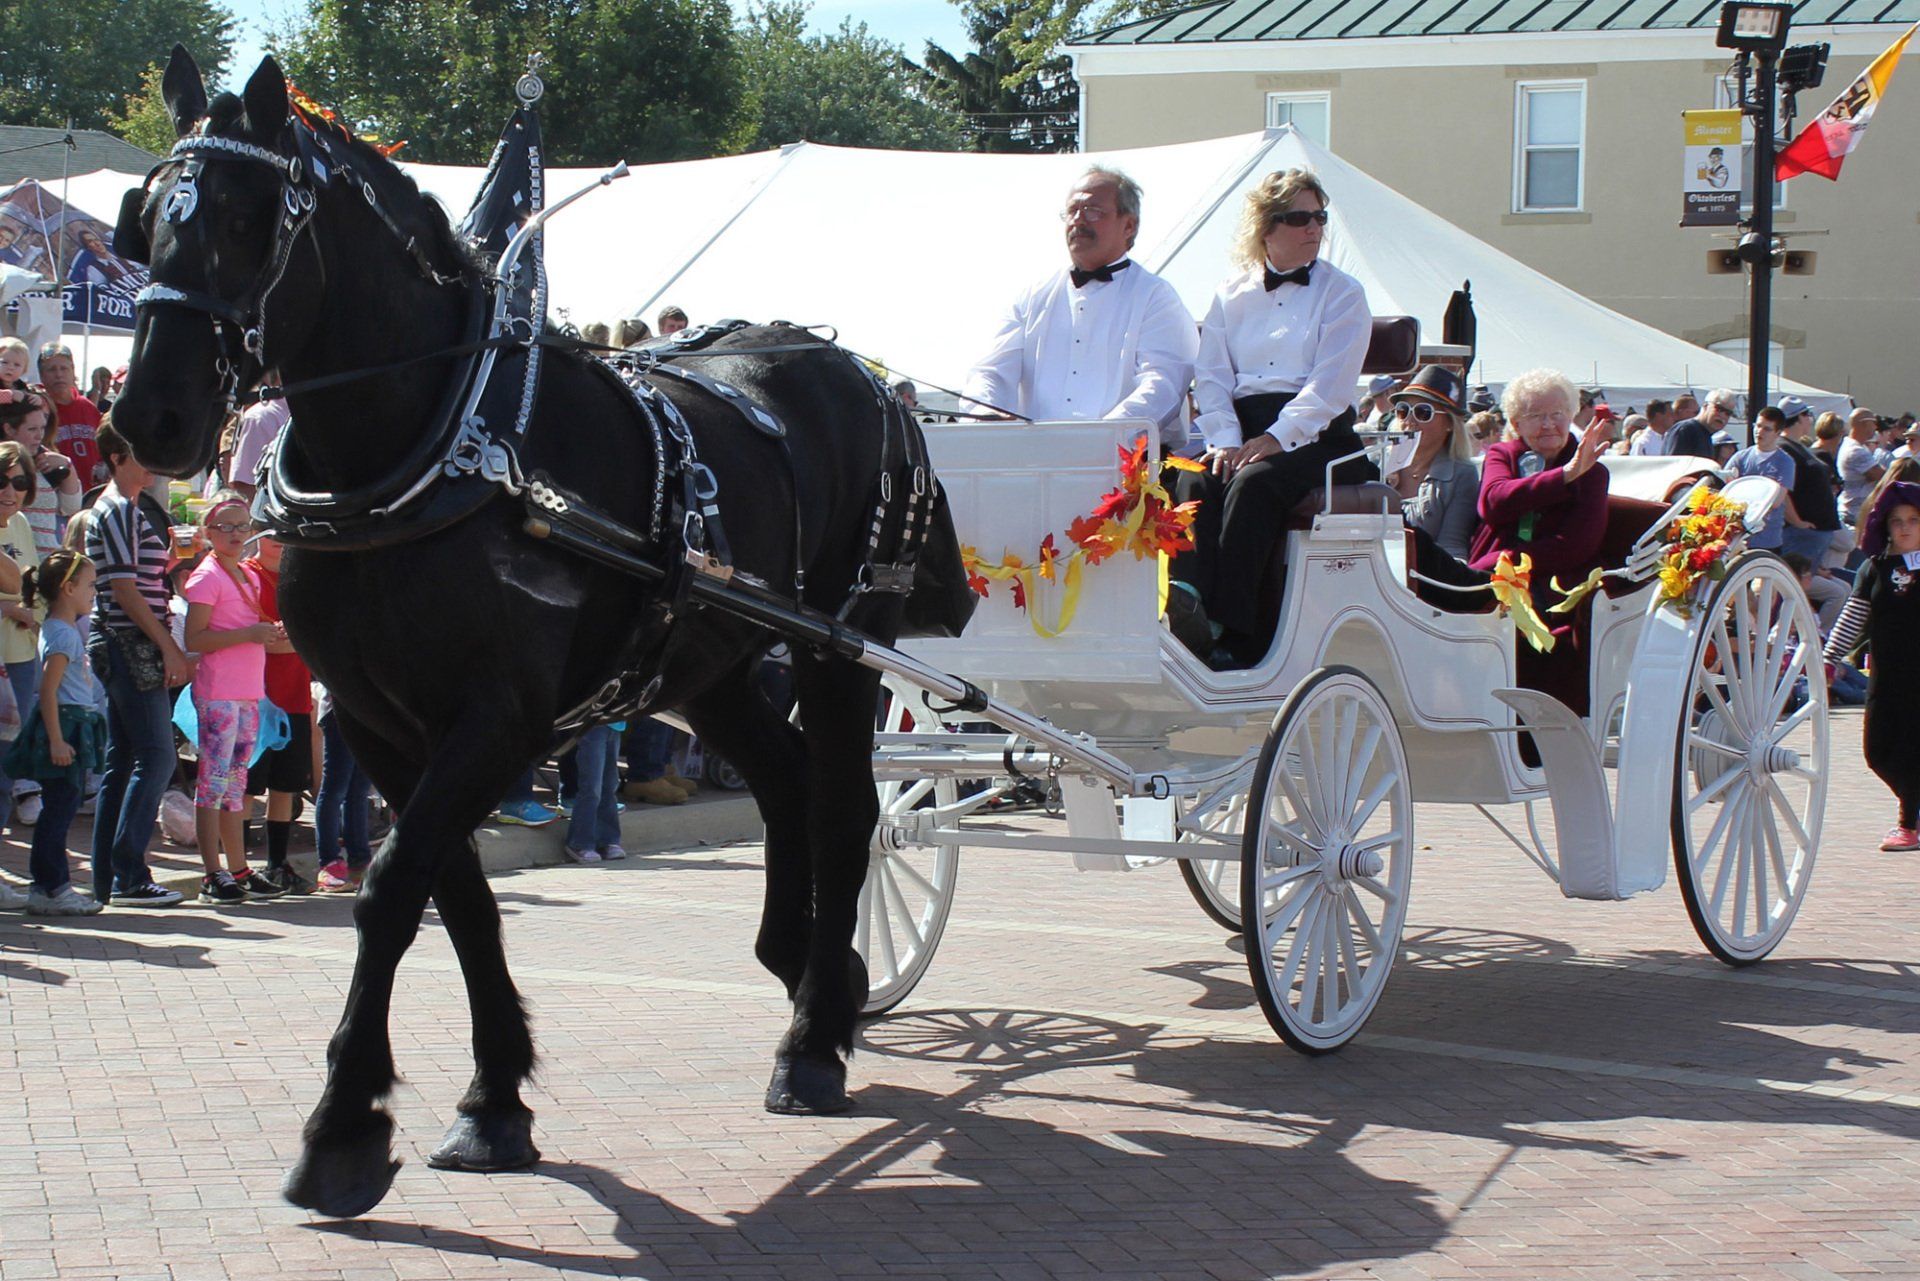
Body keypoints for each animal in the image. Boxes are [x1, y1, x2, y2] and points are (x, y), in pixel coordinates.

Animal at [112, 47, 967, 1221]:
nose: (147, 417)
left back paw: (812, 1045)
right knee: (788, 783)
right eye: (147, 215)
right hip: (710, 663)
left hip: (841, 651)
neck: (434, 445)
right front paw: (492, 1101)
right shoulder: (380, 724)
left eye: (247, 218)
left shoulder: (497, 718)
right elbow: (456, 895)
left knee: (849, 814)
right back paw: (809, 970)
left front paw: (343, 1126)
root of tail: (863, 377)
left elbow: (395, 887)